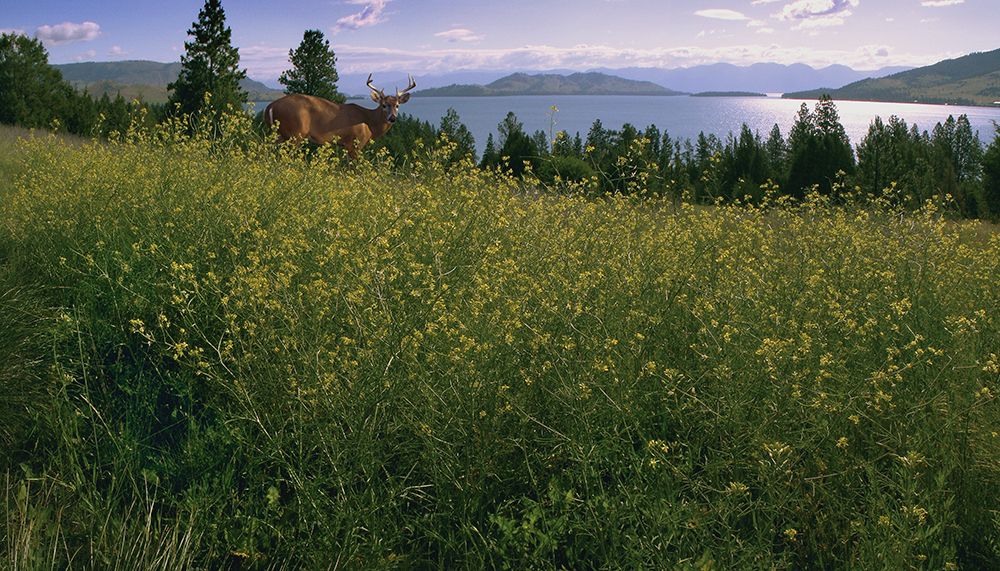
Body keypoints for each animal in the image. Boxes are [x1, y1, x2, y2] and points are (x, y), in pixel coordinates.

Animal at [264, 74, 416, 158]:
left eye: (397, 105)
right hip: (295, 133)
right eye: (384, 105)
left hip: (280, 134)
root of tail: (270, 106)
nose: (392, 118)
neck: (369, 122)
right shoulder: (355, 142)